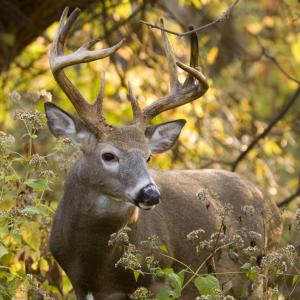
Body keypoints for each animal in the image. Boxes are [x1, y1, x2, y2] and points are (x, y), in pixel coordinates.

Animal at [45, 7, 282, 300]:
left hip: (255, 274)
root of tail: (272, 205)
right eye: (108, 155)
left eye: (148, 157)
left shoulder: (160, 277)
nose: (150, 194)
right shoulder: (77, 283)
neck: (95, 267)